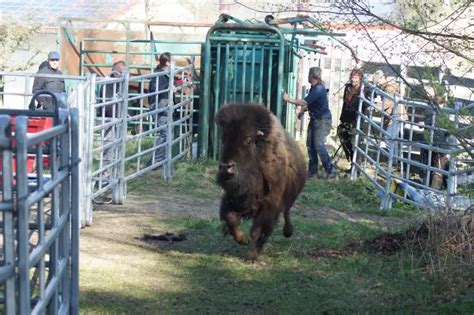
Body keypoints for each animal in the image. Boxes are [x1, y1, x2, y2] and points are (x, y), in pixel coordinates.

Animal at [216, 103, 308, 262]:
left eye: (247, 140)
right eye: (224, 138)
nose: (226, 167)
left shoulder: (269, 205)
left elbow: (258, 230)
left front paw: (252, 256)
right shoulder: (235, 199)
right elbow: (231, 219)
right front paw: (242, 239)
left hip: (289, 197)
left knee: (286, 212)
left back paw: (288, 232)